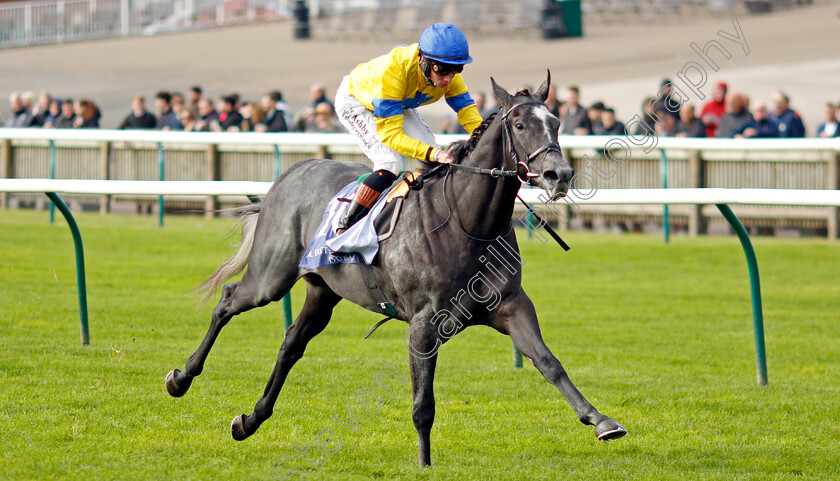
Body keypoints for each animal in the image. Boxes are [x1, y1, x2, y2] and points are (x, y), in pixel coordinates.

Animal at [166, 73, 624, 466]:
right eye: (520, 122)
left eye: (557, 122)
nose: (559, 174)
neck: (468, 222)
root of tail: (293, 171)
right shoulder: (424, 323)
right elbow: (423, 404)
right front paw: (424, 464)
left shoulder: (511, 305)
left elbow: (548, 362)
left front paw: (601, 420)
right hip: (271, 277)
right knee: (228, 301)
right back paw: (181, 378)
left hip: (322, 290)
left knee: (291, 345)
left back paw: (249, 420)